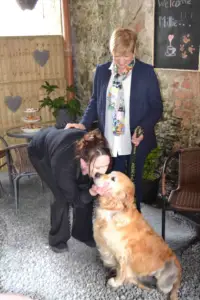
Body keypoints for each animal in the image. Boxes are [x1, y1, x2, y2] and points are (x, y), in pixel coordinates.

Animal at [93, 171, 182, 300]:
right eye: (109, 172)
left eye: (113, 178)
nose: (96, 174)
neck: (114, 210)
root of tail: (180, 273)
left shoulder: (122, 254)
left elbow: (121, 271)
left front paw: (116, 282)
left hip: (164, 280)